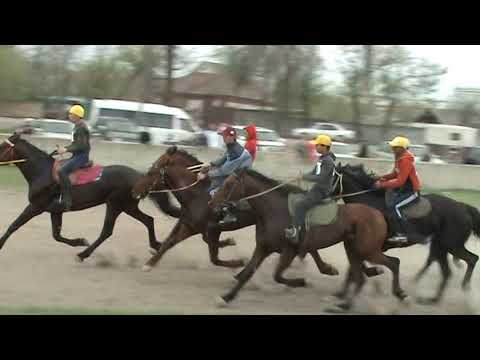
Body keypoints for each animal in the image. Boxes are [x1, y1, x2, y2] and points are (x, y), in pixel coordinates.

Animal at [0, 131, 180, 260]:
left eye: (2, 146)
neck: (42, 172)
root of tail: (138, 177)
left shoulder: (36, 206)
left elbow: (13, 226)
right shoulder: (55, 211)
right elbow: (56, 235)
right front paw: (79, 241)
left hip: (116, 204)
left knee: (107, 231)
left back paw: (83, 255)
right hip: (127, 206)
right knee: (148, 220)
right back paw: (156, 245)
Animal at [131, 146, 340, 278]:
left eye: (151, 172)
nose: (134, 190)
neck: (197, 193)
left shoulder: (208, 228)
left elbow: (213, 257)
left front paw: (238, 261)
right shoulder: (189, 224)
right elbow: (169, 242)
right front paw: (150, 262)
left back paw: (325, 268)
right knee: (310, 245)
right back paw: (326, 268)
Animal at [211, 167, 408, 310]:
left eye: (228, 184)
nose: (212, 204)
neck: (274, 210)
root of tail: (379, 214)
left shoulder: (289, 250)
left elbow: (277, 276)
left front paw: (301, 281)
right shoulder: (263, 247)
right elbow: (247, 273)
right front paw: (226, 297)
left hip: (368, 249)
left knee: (394, 263)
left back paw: (398, 294)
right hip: (353, 249)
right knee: (360, 277)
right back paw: (344, 304)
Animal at [334, 163, 480, 304]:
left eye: (331, 174)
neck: (368, 204)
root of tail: (464, 207)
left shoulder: (369, 248)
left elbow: (354, 268)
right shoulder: (361, 247)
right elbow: (353, 269)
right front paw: (342, 293)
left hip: (451, 245)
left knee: (472, 259)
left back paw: (464, 287)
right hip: (441, 246)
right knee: (447, 272)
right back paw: (432, 299)